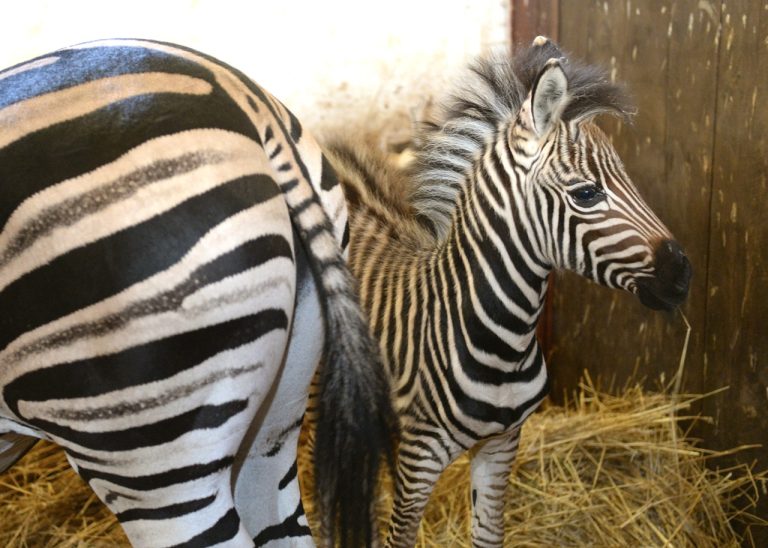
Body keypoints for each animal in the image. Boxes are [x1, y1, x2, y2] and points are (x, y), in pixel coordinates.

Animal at [323, 36, 692, 547]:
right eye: (586, 194)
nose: (682, 273)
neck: (504, 344)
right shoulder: (419, 459)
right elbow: (402, 535)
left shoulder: (502, 443)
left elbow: (489, 533)